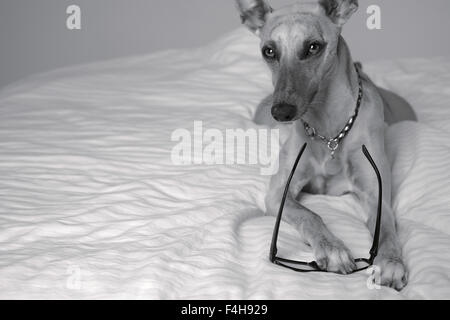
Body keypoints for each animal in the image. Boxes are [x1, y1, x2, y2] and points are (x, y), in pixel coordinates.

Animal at [236, 0, 418, 290]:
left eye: (313, 46)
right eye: (269, 51)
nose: (281, 112)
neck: (330, 131)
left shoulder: (377, 196)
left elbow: (387, 228)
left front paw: (391, 262)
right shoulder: (277, 194)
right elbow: (309, 214)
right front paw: (332, 248)